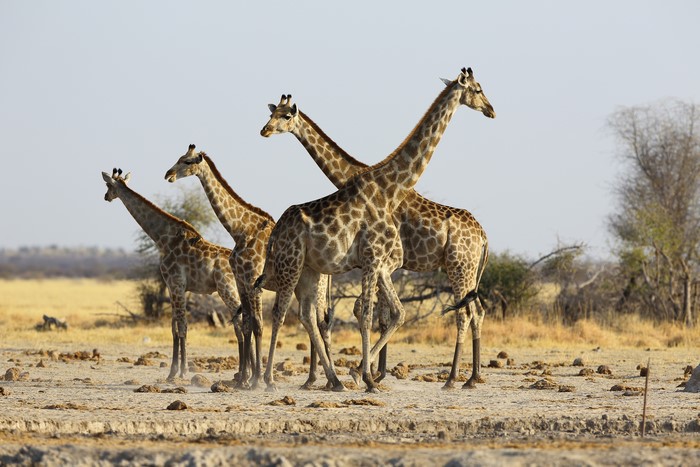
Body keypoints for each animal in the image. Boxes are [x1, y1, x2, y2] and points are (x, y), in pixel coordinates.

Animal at [102, 168, 243, 382]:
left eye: (108, 185)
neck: (163, 238)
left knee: (241, 324)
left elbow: (182, 327)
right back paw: (244, 374)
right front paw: (172, 372)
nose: (106, 197)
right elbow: (174, 328)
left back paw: (245, 375)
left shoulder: (176, 283)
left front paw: (182, 371)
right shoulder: (173, 286)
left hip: (227, 289)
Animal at [165, 147, 333, 389]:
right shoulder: (241, 281)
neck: (240, 229)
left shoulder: (253, 281)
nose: (168, 174)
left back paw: (323, 380)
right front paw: (245, 379)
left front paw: (258, 380)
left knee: (320, 323)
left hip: (314, 286)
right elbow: (246, 326)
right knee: (316, 322)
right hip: (302, 286)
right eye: (178, 158)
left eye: (187, 161)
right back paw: (312, 380)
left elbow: (258, 325)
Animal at [256, 67, 495, 392]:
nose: (491, 110)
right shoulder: (377, 261)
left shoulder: (383, 262)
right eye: (478, 89)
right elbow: (373, 314)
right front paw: (368, 374)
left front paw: (366, 373)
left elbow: (382, 313)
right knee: (283, 313)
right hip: (295, 264)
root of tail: (484, 236)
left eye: (285, 115)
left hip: (459, 268)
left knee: (468, 312)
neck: (387, 187)